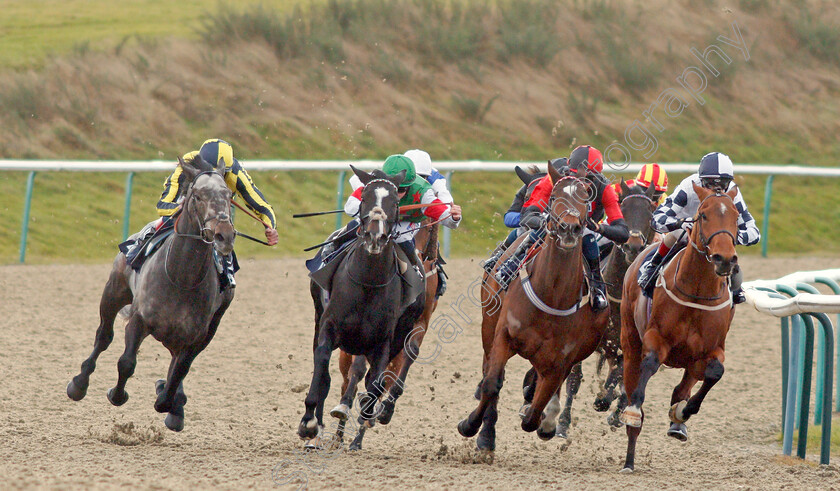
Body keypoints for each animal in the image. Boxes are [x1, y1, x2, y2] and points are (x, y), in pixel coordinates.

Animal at [64, 156, 236, 432]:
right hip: (114, 291)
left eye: (229, 195)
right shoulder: (139, 320)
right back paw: (79, 383)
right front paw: (116, 394)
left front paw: (168, 397)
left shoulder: (195, 338)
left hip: (209, 327)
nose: (224, 235)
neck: (182, 278)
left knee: (176, 364)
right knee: (104, 336)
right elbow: (126, 362)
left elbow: (176, 377)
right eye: (198, 196)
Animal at [300, 165, 426, 446]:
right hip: (317, 316)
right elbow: (321, 370)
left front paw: (367, 414)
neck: (368, 283)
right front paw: (309, 423)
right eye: (365, 197)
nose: (375, 236)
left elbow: (376, 383)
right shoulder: (328, 327)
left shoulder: (384, 341)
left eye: (395, 201)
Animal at [328, 222, 440, 450]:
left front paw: (385, 409)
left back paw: (360, 431)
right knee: (347, 381)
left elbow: (409, 353)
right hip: (346, 355)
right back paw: (340, 432)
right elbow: (358, 370)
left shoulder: (420, 322)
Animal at [616, 184, 740, 472]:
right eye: (703, 215)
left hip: (691, 361)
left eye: (736, 216)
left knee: (683, 387)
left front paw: (681, 412)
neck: (697, 293)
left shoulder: (712, 349)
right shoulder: (656, 338)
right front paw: (633, 412)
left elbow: (715, 373)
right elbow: (649, 365)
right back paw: (629, 458)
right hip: (629, 339)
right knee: (631, 380)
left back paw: (677, 424)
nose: (724, 259)